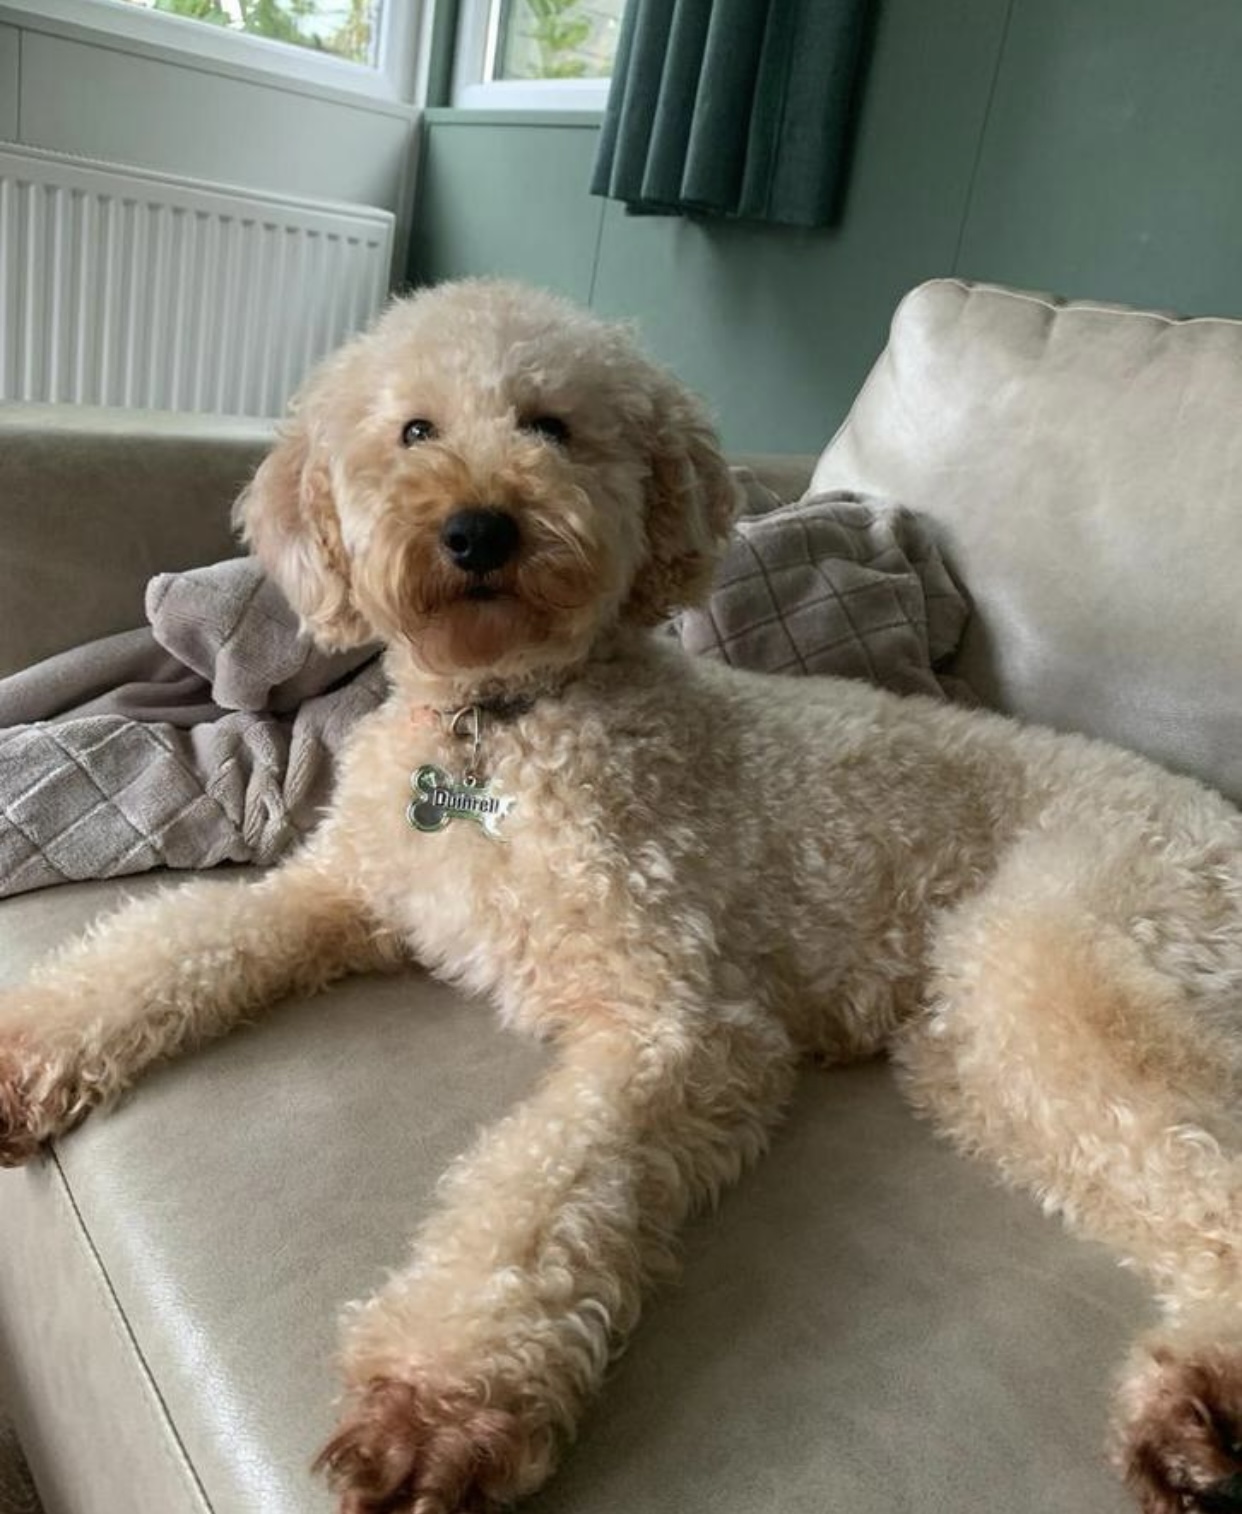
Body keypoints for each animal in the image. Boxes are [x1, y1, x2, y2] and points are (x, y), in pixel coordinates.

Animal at [2, 278, 1242, 1507]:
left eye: (551, 425)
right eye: (415, 431)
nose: (478, 528)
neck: (504, 721)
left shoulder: (681, 1020)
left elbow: (539, 1190)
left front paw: (439, 1392)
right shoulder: (336, 890)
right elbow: (176, 938)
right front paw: (28, 1047)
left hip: (1053, 961)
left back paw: (1206, 1401)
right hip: (969, 1049)